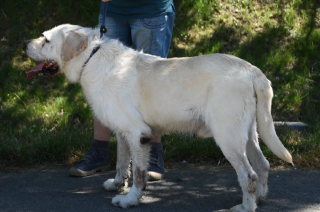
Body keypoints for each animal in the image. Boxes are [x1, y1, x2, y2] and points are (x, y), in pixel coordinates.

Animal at [22, 24, 292, 211]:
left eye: (46, 40)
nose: (24, 43)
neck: (91, 57)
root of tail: (253, 70)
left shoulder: (137, 133)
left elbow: (139, 173)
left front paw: (130, 199)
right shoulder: (122, 133)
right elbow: (122, 162)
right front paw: (117, 184)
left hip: (228, 137)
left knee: (249, 174)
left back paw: (246, 206)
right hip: (249, 133)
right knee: (263, 165)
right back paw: (259, 198)